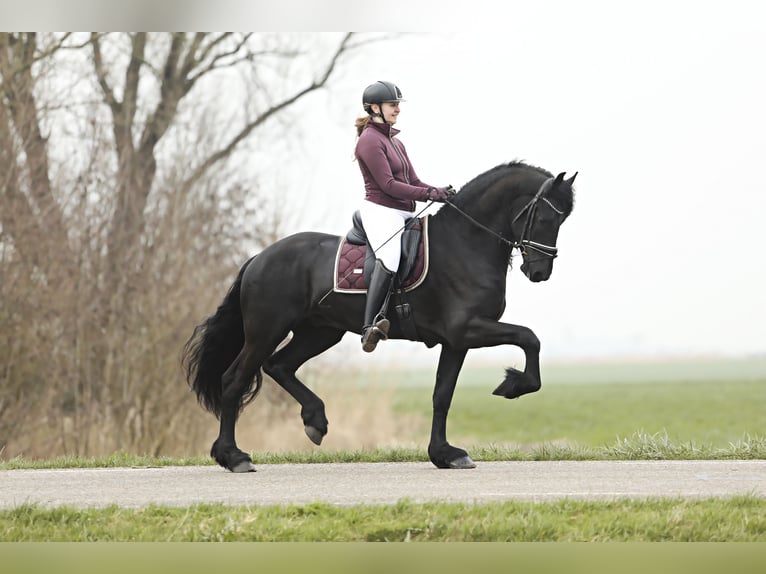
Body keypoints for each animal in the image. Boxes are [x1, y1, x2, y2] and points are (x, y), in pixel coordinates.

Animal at [183, 161, 576, 472]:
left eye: (563, 219)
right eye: (544, 217)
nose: (539, 272)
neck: (465, 242)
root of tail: (259, 258)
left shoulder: (456, 341)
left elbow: (442, 395)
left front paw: (444, 454)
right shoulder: (469, 330)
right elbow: (529, 337)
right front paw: (514, 384)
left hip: (320, 332)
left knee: (280, 365)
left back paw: (315, 420)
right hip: (266, 331)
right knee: (235, 379)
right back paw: (234, 457)